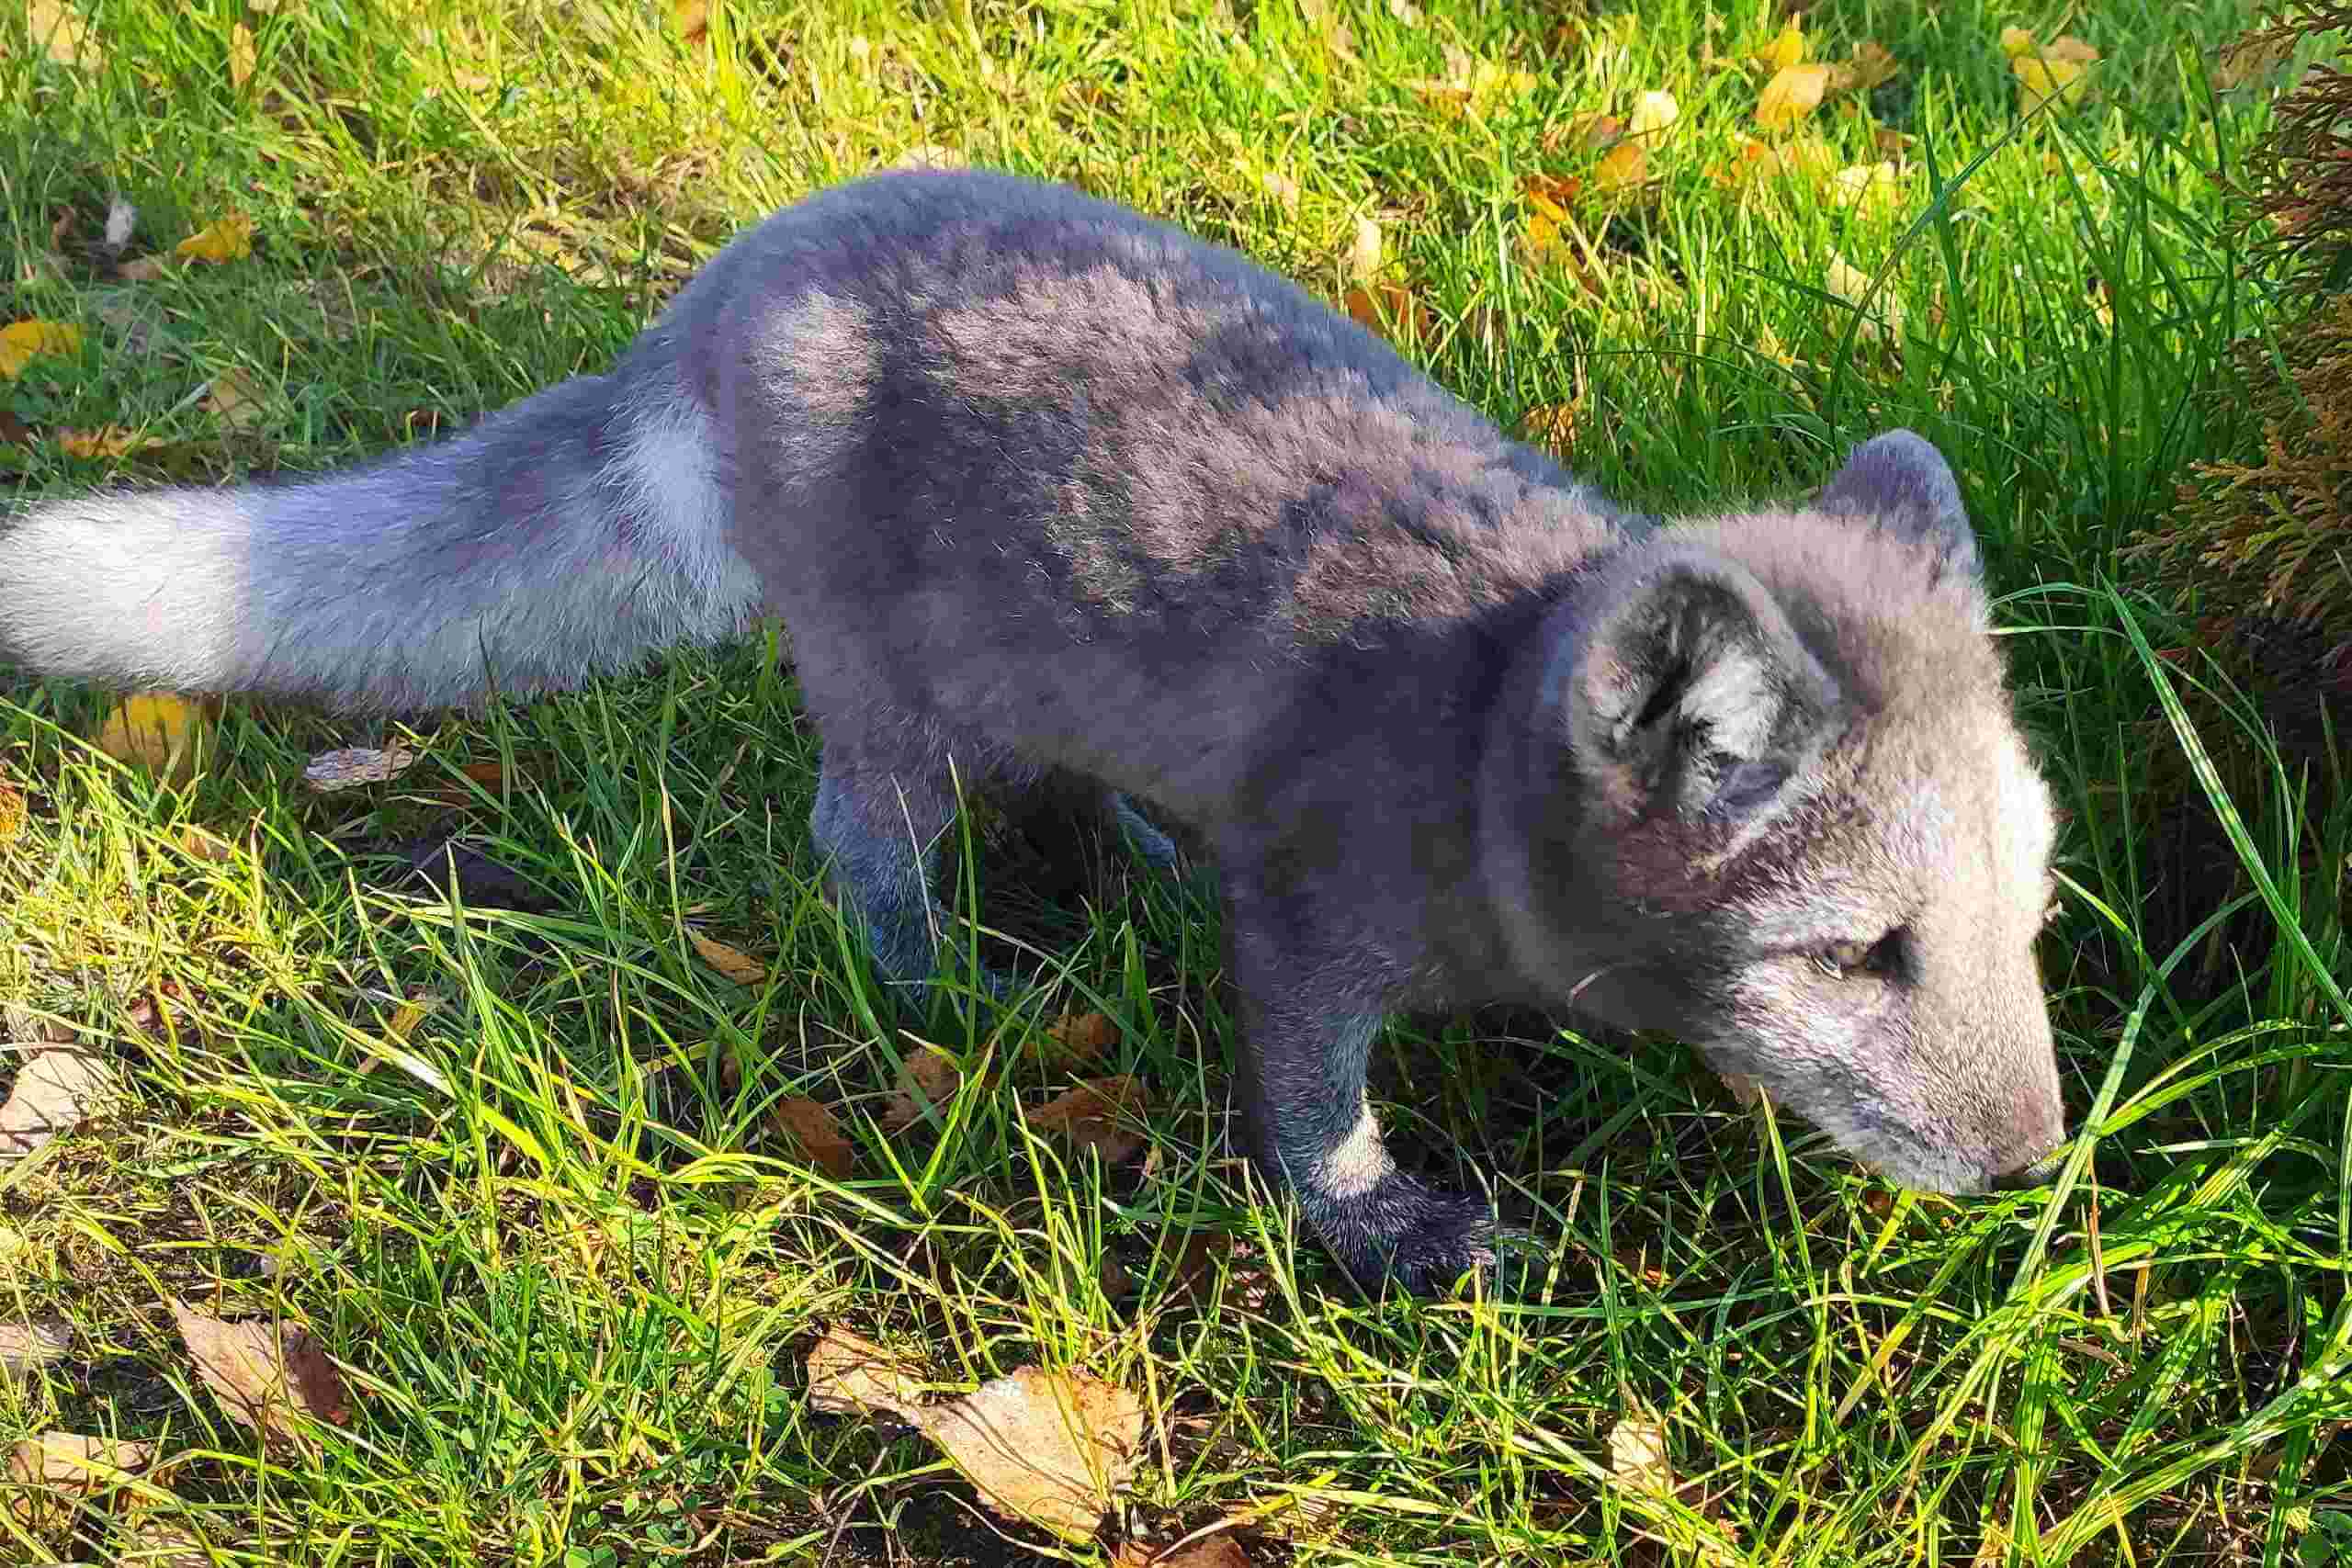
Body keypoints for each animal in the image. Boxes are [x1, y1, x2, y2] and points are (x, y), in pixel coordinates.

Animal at [0, 175, 2060, 1297]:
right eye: (1857, 952)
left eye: (2028, 923)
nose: (2039, 1170)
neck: (1476, 713)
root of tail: (721, 281)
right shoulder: (1312, 925)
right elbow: (1307, 1109)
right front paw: (1384, 1231)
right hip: (882, 700)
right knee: (856, 845)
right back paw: (949, 990)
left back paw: (1128, 867)